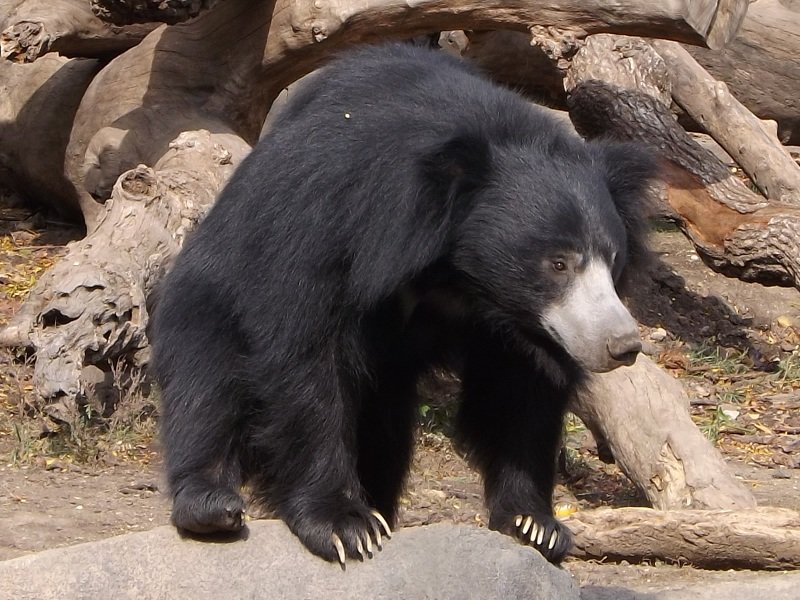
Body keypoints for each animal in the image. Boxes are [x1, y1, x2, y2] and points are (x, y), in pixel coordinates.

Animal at [149, 42, 655, 566]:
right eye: (558, 263)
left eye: (612, 260)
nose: (623, 345)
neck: (456, 271)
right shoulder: (330, 225)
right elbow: (306, 361)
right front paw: (344, 526)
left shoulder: (519, 323)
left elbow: (523, 386)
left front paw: (534, 525)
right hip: (210, 289)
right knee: (206, 385)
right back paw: (211, 505)